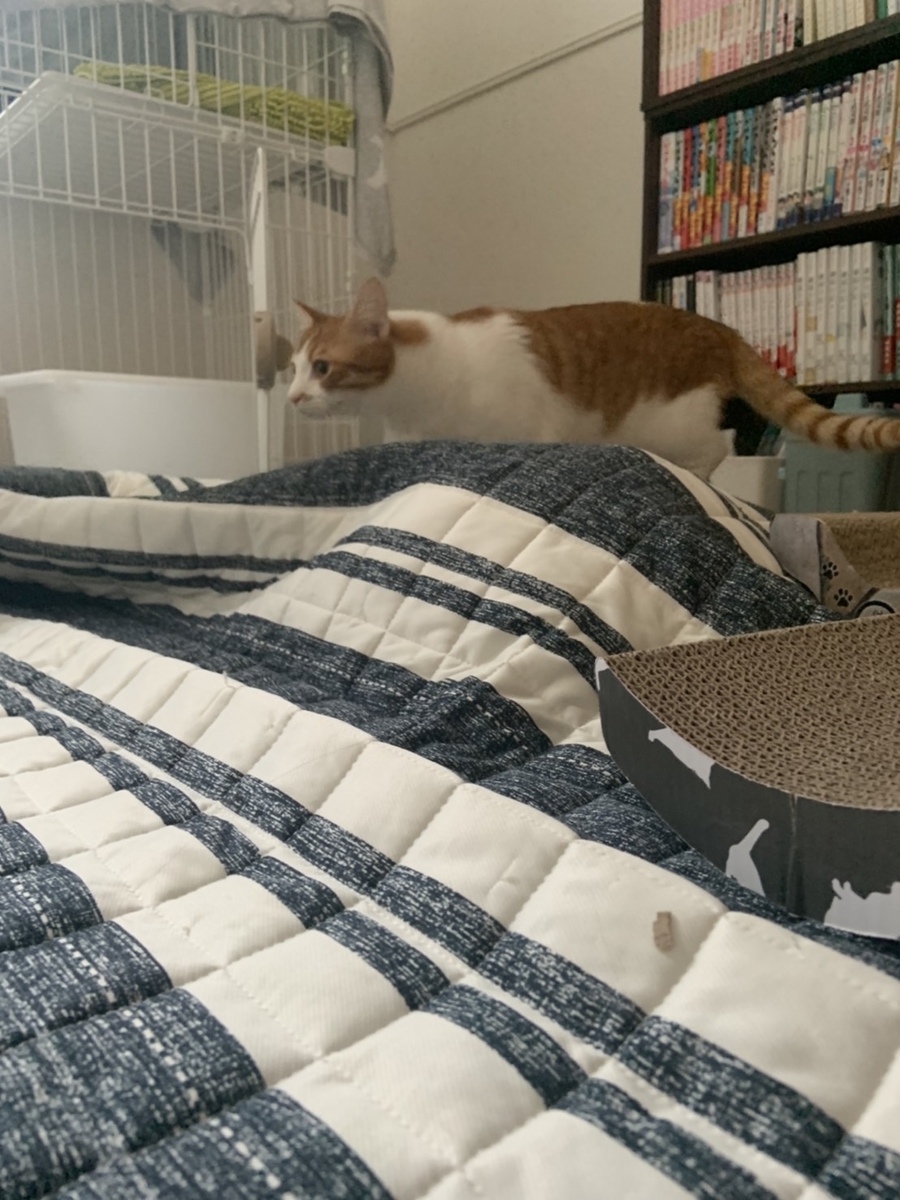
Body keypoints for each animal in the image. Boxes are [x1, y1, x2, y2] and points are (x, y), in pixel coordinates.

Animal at [286, 278, 900, 478]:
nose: (291, 397)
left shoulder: (531, 430)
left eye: (322, 367)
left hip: (670, 421)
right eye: (292, 366)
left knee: (718, 444)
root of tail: (715, 326)